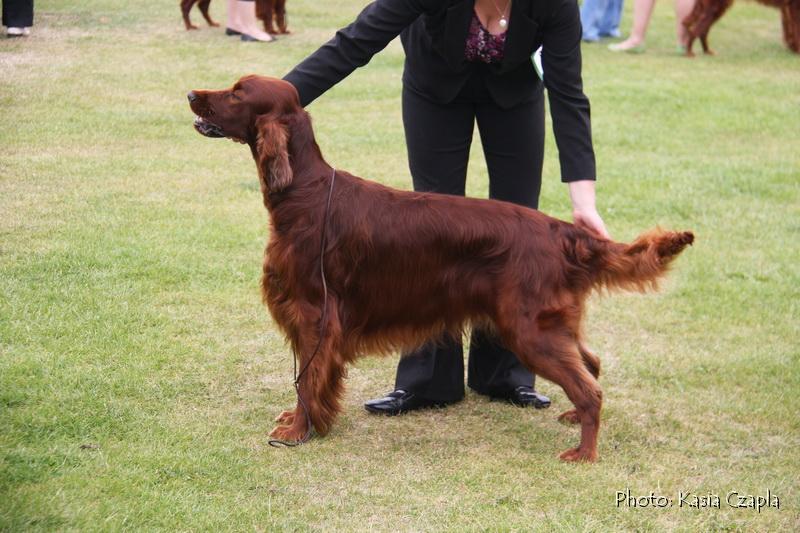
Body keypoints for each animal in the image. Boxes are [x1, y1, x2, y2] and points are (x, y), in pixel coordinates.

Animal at [188, 75, 692, 462]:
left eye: (237, 92)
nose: (192, 93)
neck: (305, 191)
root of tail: (560, 229)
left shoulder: (315, 313)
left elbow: (307, 380)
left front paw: (298, 432)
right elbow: (304, 381)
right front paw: (298, 423)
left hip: (528, 329)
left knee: (591, 387)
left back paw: (584, 452)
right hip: (550, 323)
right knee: (590, 363)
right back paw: (572, 417)